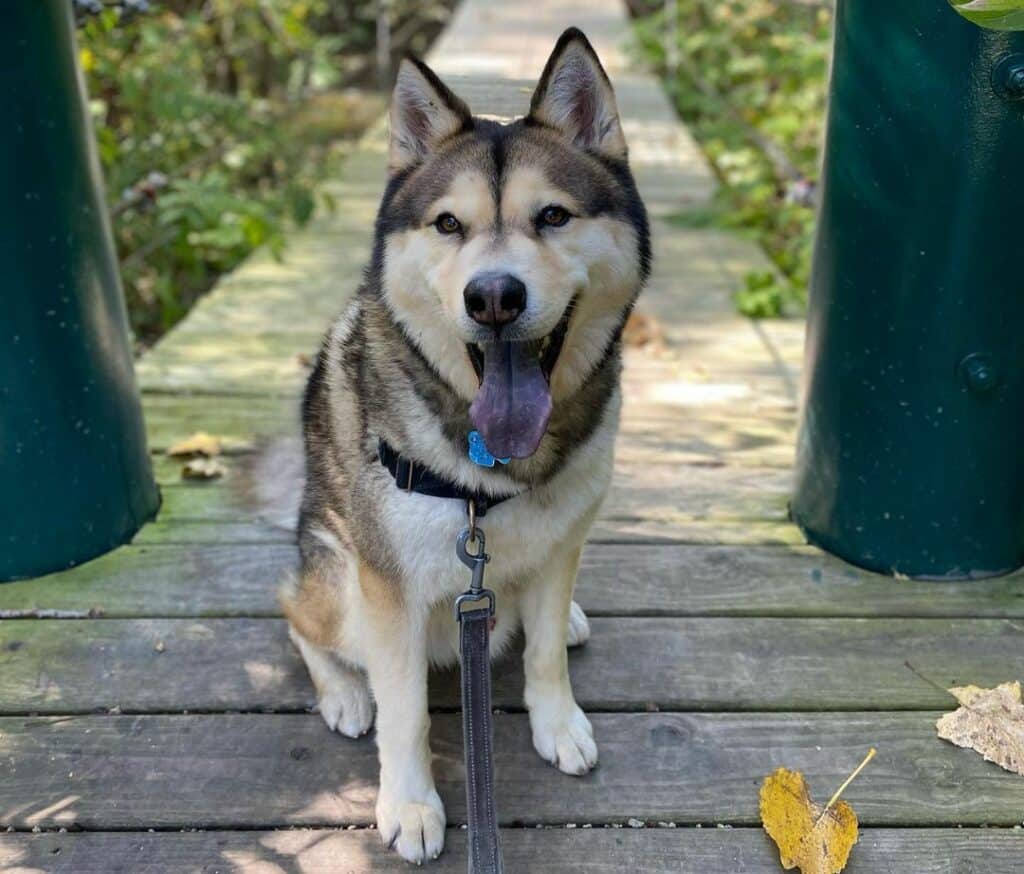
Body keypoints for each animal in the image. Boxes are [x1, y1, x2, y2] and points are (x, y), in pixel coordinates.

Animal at [276, 25, 651, 863]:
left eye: (553, 216)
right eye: (449, 224)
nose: (494, 297)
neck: (491, 474)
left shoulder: (563, 540)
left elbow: (542, 651)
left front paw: (557, 722)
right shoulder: (387, 589)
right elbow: (406, 709)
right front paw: (412, 804)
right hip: (334, 579)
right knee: (294, 613)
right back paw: (344, 691)